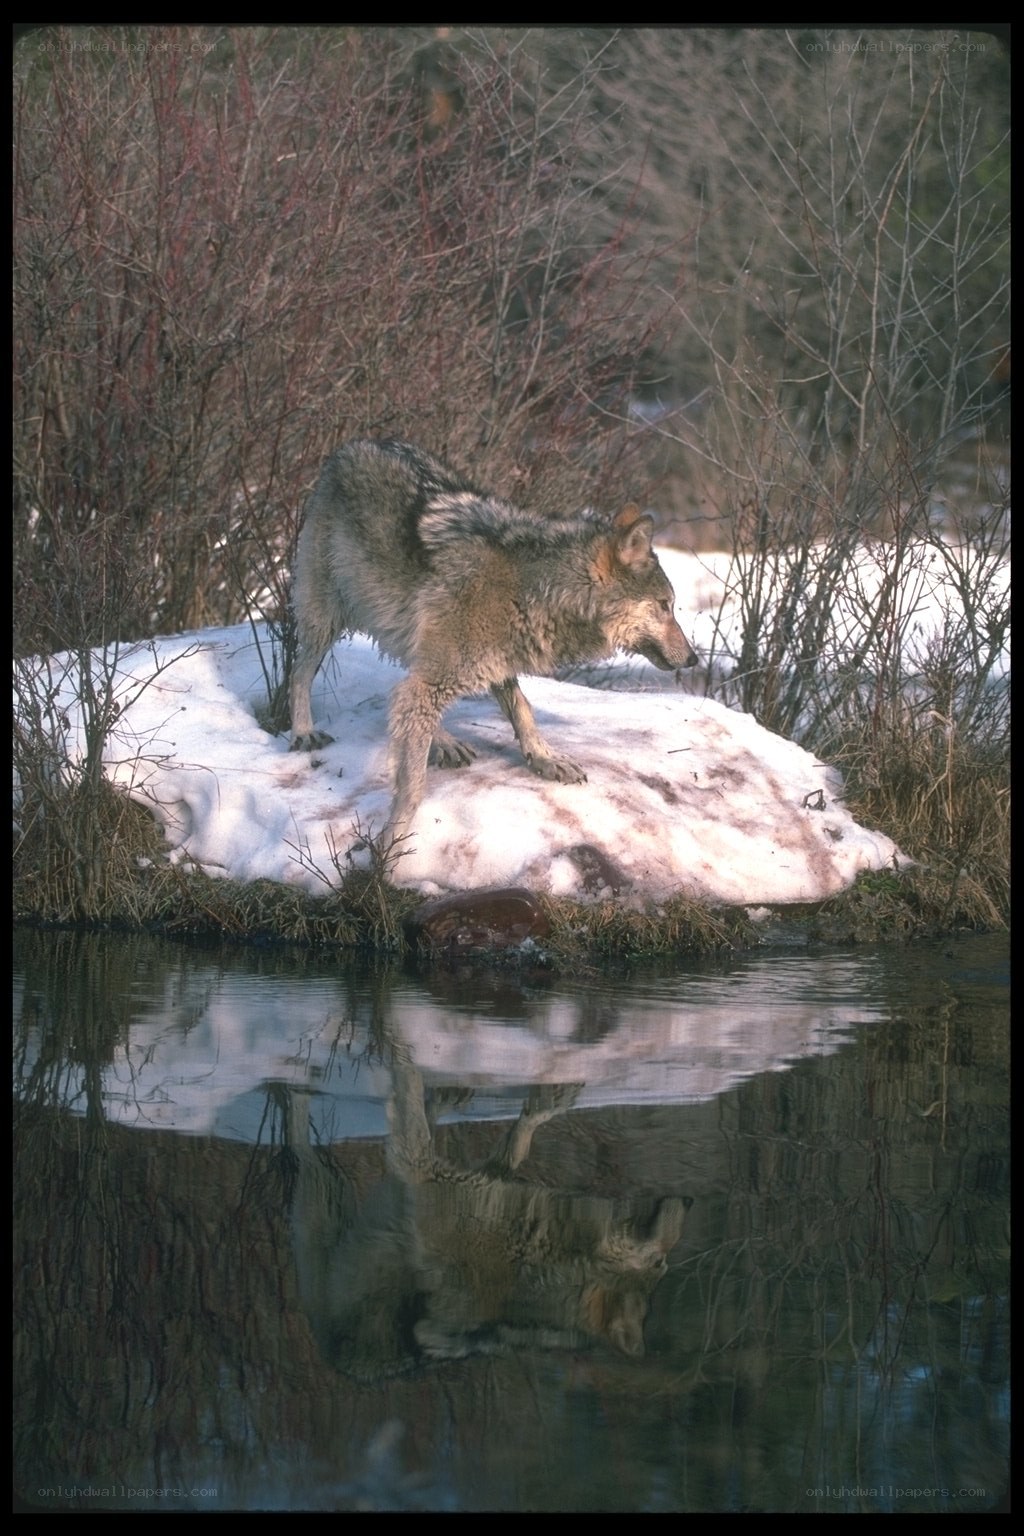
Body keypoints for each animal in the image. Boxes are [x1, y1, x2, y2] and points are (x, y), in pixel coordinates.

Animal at [289, 438, 698, 841]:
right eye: (665, 606)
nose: (694, 659)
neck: (535, 589)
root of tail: (353, 444)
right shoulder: (444, 675)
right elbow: (413, 786)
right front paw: (392, 846)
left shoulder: (496, 662)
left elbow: (523, 710)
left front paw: (544, 758)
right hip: (325, 618)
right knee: (301, 673)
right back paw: (304, 731)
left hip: (411, 632)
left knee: (405, 695)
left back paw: (443, 741)